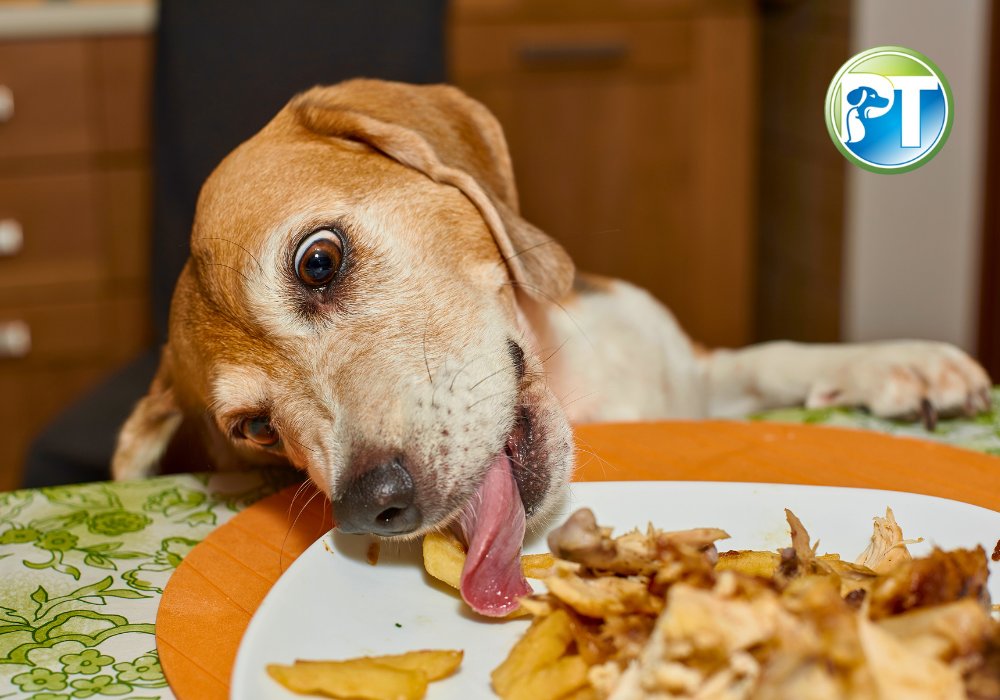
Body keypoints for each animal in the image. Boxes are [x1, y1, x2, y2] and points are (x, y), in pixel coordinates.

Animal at [111, 79, 992, 616]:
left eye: (318, 261)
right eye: (255, 429)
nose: (371, 504)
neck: (579, 389)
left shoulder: (690, 372)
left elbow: (777, 355)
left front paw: (902, 364)